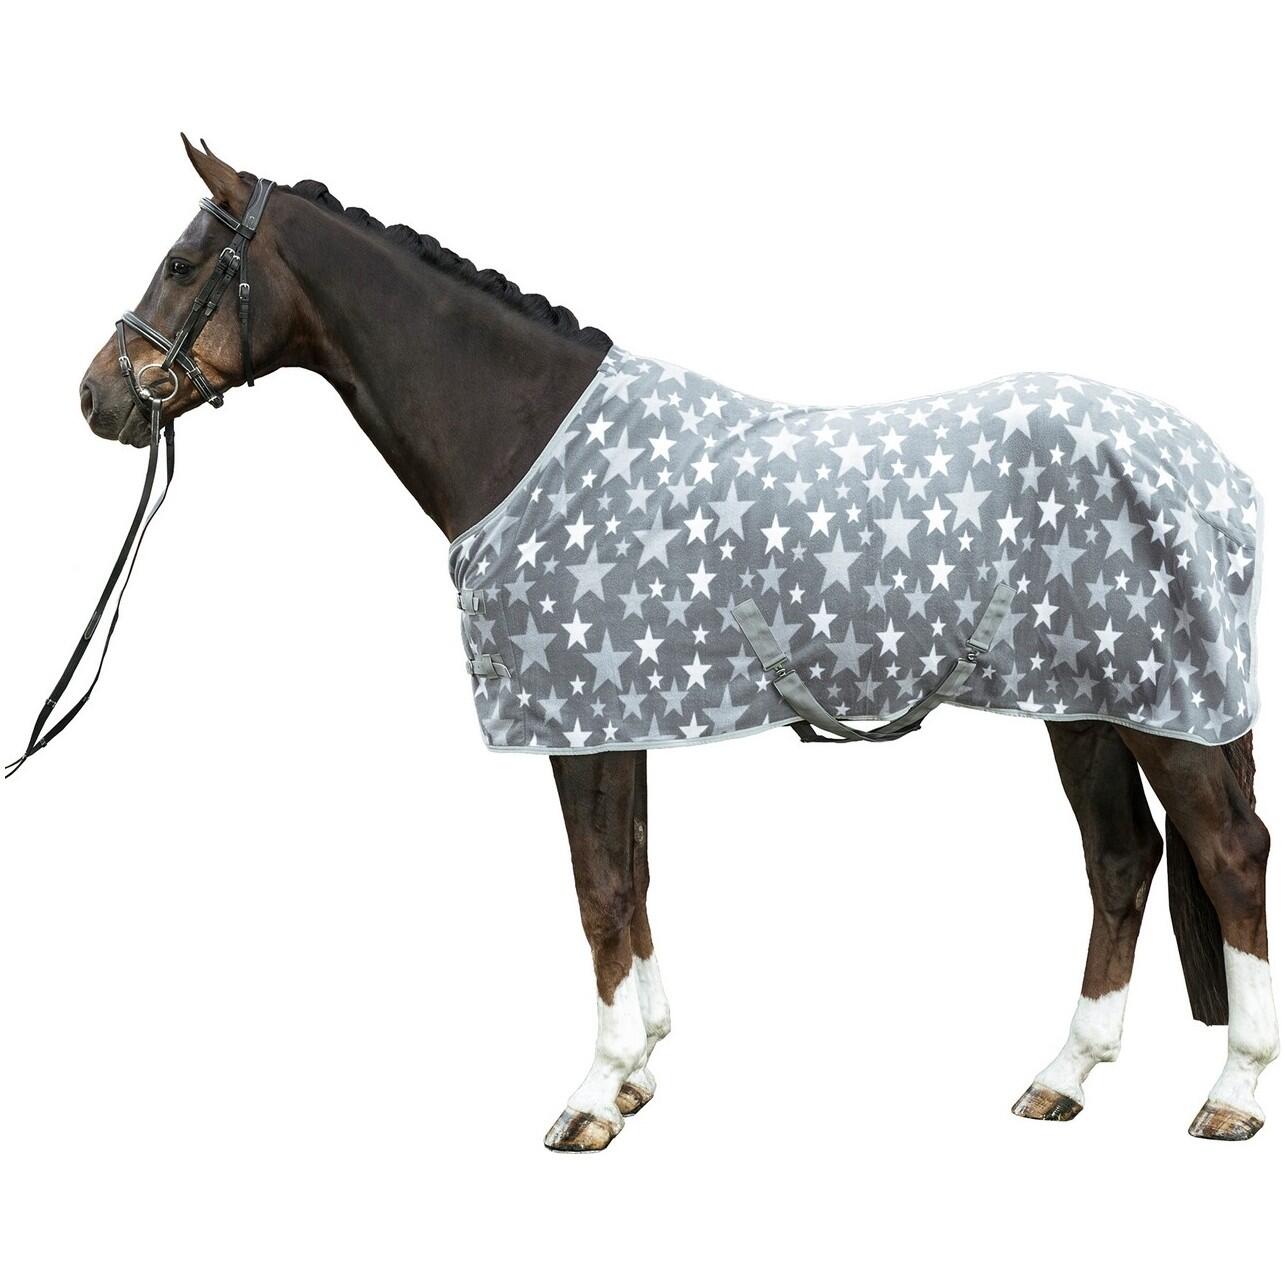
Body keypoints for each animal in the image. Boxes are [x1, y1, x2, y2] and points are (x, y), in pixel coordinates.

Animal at [68, 138, 1274, 1149]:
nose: (97, 396)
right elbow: (635, 877)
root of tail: (1207, 470)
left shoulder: (580, 725)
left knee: (1228, 853)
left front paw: (593, 1097)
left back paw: (1231, 1094)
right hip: (1088, 705)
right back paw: (1061, 1077)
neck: (526, 441)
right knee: (1121, 861)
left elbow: (599, 890)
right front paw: (640, 1068)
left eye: (182, 263)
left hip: (1161, 708)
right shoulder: (624, 718)